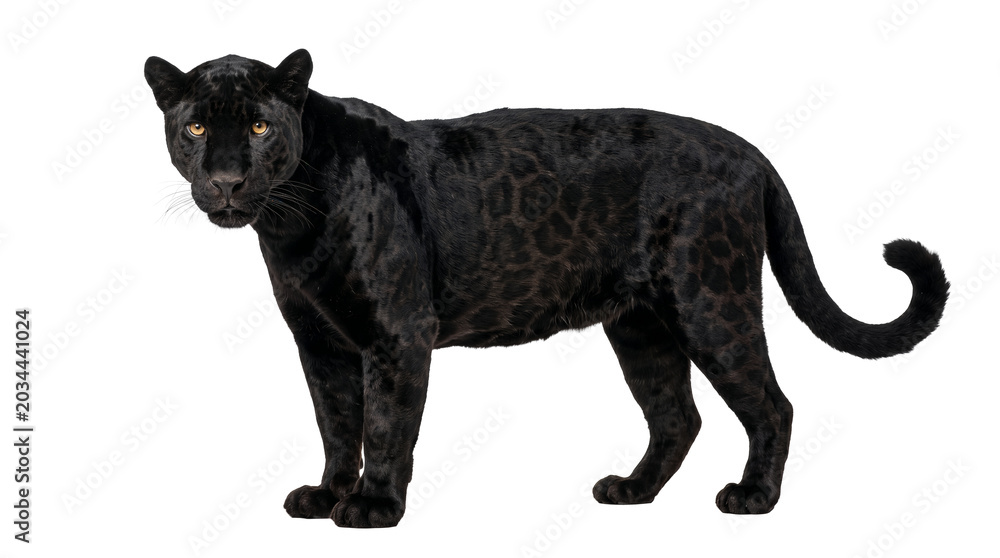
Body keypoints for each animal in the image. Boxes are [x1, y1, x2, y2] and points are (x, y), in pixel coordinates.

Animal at [144, 49, 949, 528]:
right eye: (195, 128)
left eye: (257, 127)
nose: (225, 180)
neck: (292, 220)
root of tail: (751, 151)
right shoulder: (320, 343)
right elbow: (336, 422)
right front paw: (327, 493)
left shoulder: (396, 335)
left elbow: (386, 426)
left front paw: (373, 506)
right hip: (641, 327)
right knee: (676, 415)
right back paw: (631, 492)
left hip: (709, 302)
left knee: (770, 403)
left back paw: (753, 499)